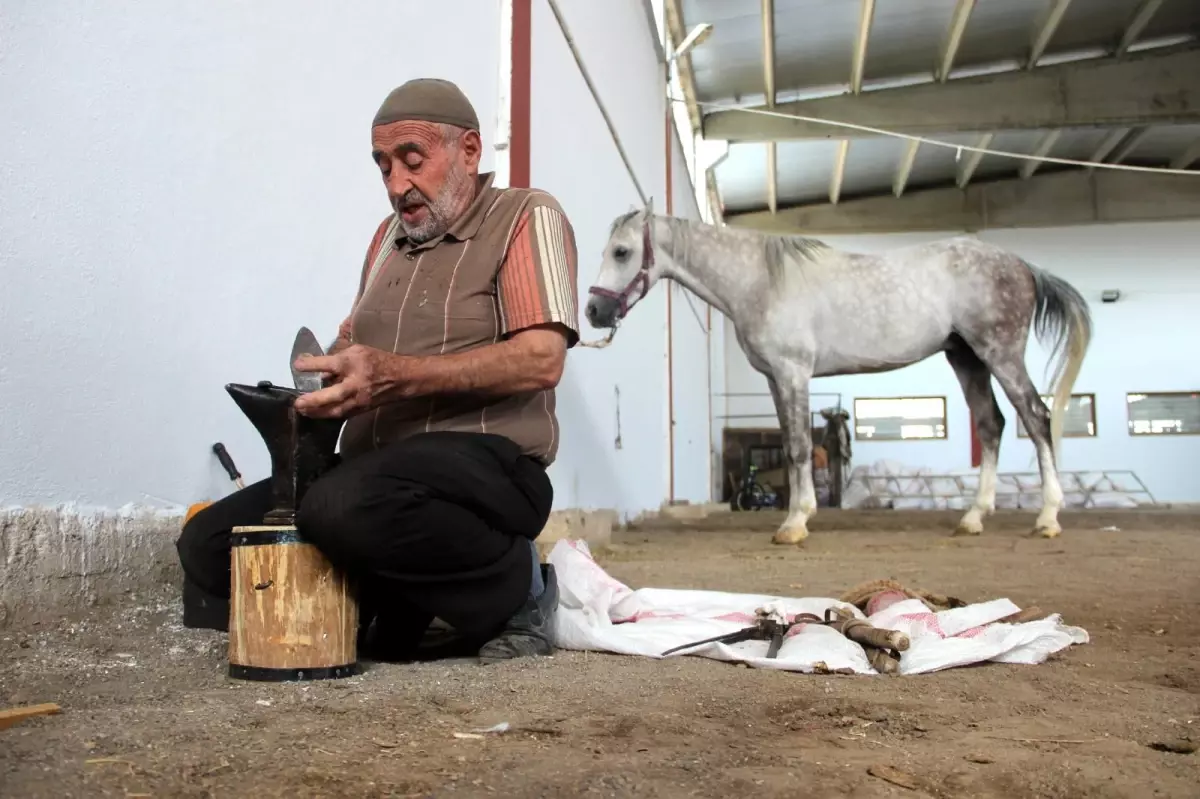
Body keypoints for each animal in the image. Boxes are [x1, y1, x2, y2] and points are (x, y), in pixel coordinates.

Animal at [585, 202, 1094, 544]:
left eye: (622, 252)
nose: (593, 311)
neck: (760, 281)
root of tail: (1021, 264)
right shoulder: (775, 378)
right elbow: (789, 444)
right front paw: (796, 515)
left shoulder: (793, 373)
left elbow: (797, 447)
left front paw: (795, 524)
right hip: (966, 357)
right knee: (992, 425)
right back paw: (973, 518)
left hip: (999, 352)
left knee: (1036, 417)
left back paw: (1047, 518)